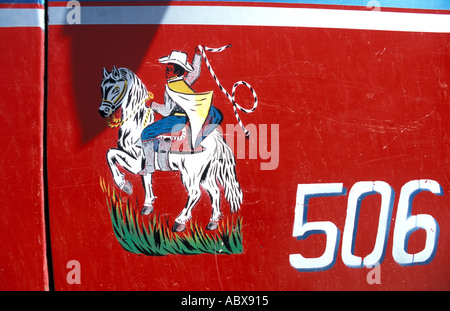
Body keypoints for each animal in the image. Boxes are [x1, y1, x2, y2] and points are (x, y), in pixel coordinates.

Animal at [98, 68, 243, 233]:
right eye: (102, 87)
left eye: (116, 89)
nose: (103, 111)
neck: (136, 125)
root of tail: (215, 138)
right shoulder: (145, 165)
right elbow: (145, 179)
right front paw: (147, 205)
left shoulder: (136, 162)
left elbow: (110, 154)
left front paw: (125, 186)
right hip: (206, 174)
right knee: (215, 192)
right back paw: (213, 222)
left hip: (191, 173)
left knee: (195, 193)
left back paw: (180, 221)